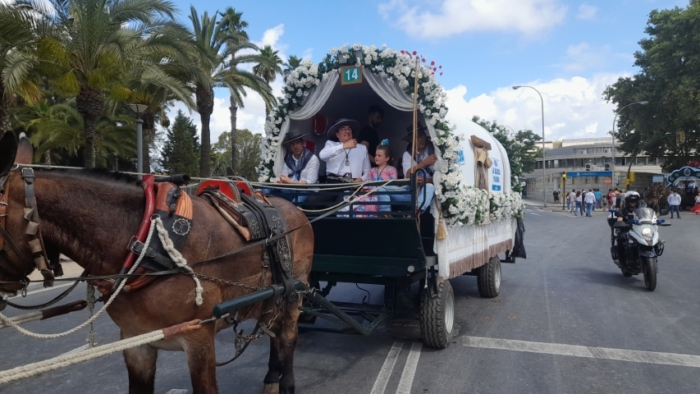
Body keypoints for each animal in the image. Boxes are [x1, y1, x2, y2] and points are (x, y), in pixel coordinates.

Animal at [0, 133, 314, 394]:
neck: (147, 245)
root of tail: (296, 209)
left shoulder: (199, 338)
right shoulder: (136, 341)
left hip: (293, 294)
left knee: (288, 336)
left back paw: (286, 383)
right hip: (271, 298)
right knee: (273, 330)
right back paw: (271, 378)